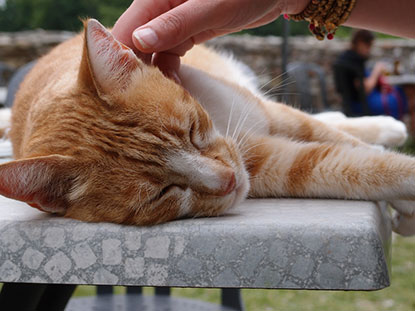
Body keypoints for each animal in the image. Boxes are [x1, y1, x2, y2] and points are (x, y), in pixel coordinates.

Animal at [0, 20, 414, 236]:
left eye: (192, 129)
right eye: (162, 194)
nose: (229, 180)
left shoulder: (269, 116)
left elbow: (342, 142)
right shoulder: (271, 162)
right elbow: (359, 167)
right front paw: (403, 201)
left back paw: (384, 126)